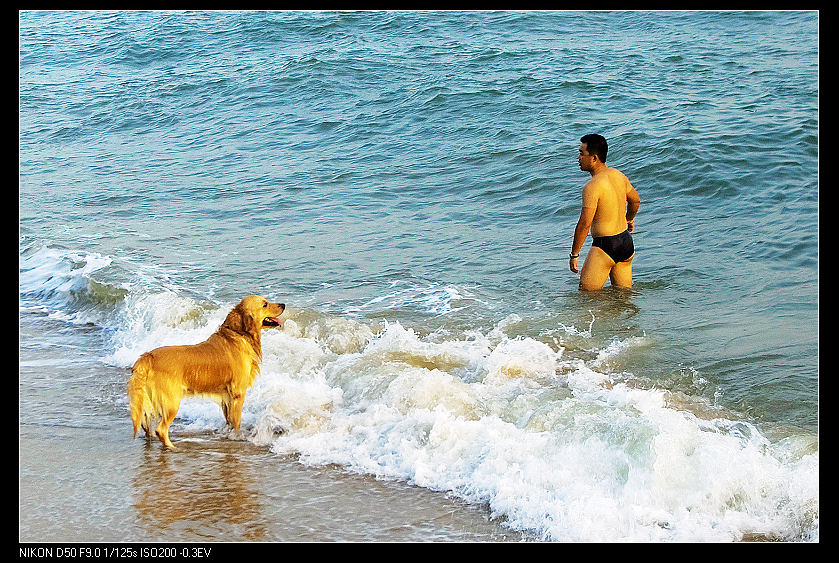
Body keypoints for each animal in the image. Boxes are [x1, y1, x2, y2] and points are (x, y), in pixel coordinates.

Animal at [128, 296, 286, 450]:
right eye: (265, 304)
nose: (283, 305)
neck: (239, 334)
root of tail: (147, 356)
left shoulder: (227, 397)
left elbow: (229, 420)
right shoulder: (238, 394)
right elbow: (236, 422)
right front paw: (237, 436)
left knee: (146, 426)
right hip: (171, 402)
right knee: (161, 429)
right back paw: (171, 447)